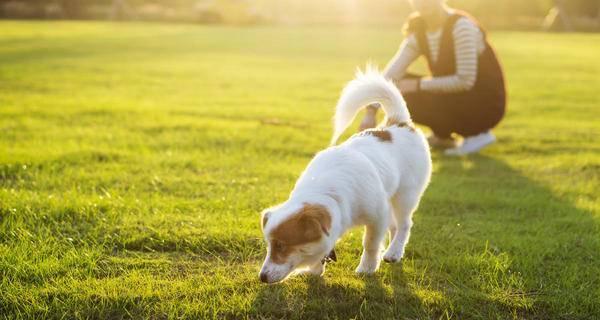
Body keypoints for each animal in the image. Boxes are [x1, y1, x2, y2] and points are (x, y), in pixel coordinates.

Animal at [258, 67, 432, 282]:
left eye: (281, 246)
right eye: (269, 246)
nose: (262, 277)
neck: (327, 192)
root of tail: (398, 123)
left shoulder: (377, 216)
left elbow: (370, 243)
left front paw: (367, 267)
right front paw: (315, 269)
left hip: (405, 195)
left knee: (404, 224)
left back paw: (394, 252)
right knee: (394, 226)